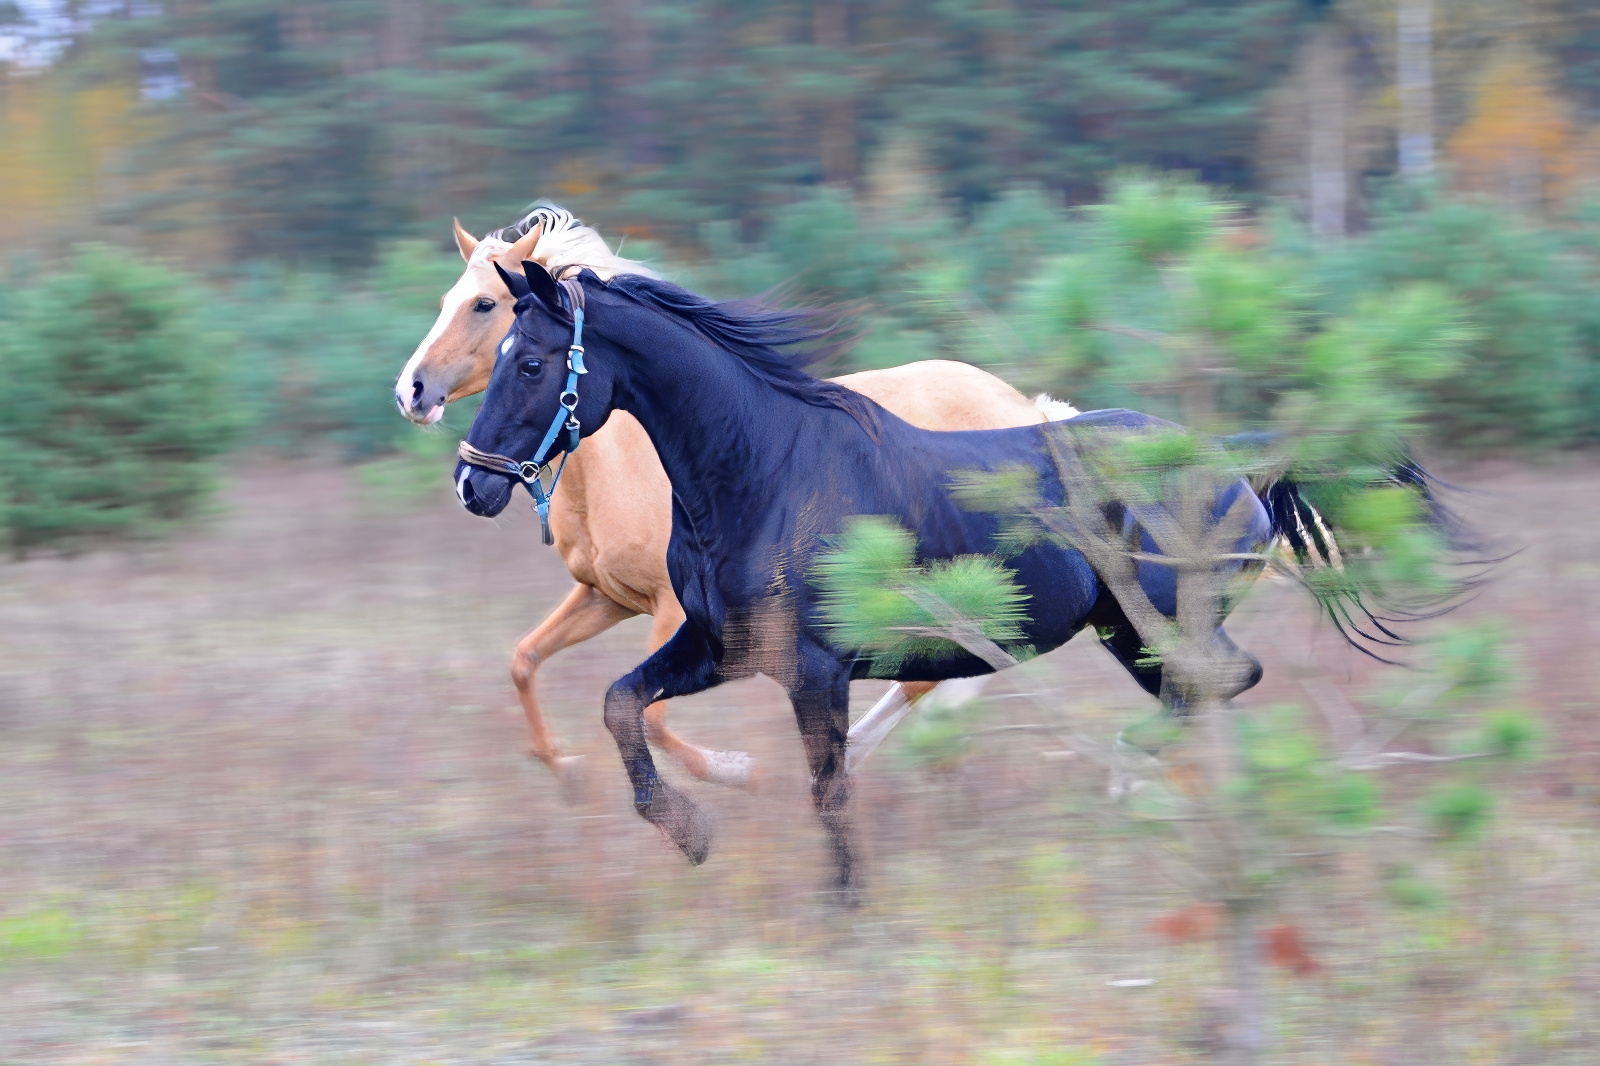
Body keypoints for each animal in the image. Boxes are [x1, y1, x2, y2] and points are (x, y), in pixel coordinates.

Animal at [395, 205, 1076, 787]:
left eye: (486, 305)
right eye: (445, 300)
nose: (412, 392)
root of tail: (1030, 411)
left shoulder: (677, 611)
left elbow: (657, 720)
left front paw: (736, 771)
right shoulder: (606, 596)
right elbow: (525, 659)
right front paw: (563, 769)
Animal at [452, 262, 1305, 897]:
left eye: (531, 362)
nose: (472, 484)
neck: (764, 472)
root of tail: (1236, 468)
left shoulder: (815, 671)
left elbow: (829, 791)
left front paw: (846, 909)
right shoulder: (721, 647)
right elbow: (622, 704)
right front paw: (691, 833)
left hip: (1157, 628)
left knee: (1215, 684)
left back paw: (1141, 786)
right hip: (1126, 634)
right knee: (1210, 691)